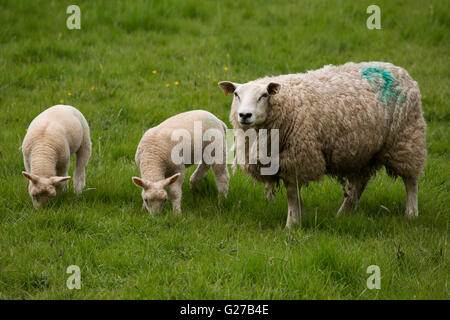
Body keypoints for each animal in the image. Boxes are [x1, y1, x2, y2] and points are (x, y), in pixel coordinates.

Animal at [220, 62, 428, 228]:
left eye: (263, 95)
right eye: (236, 94)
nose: (244, 115)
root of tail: (398, 69)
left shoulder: (298, 157)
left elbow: (291, 193)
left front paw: (291, 224)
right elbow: (294, 193)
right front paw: (300, 215)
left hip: (406, 138)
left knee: (411, 180)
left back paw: (411, 213)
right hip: (363, 150)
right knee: (360, 183)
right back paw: (343, 214)